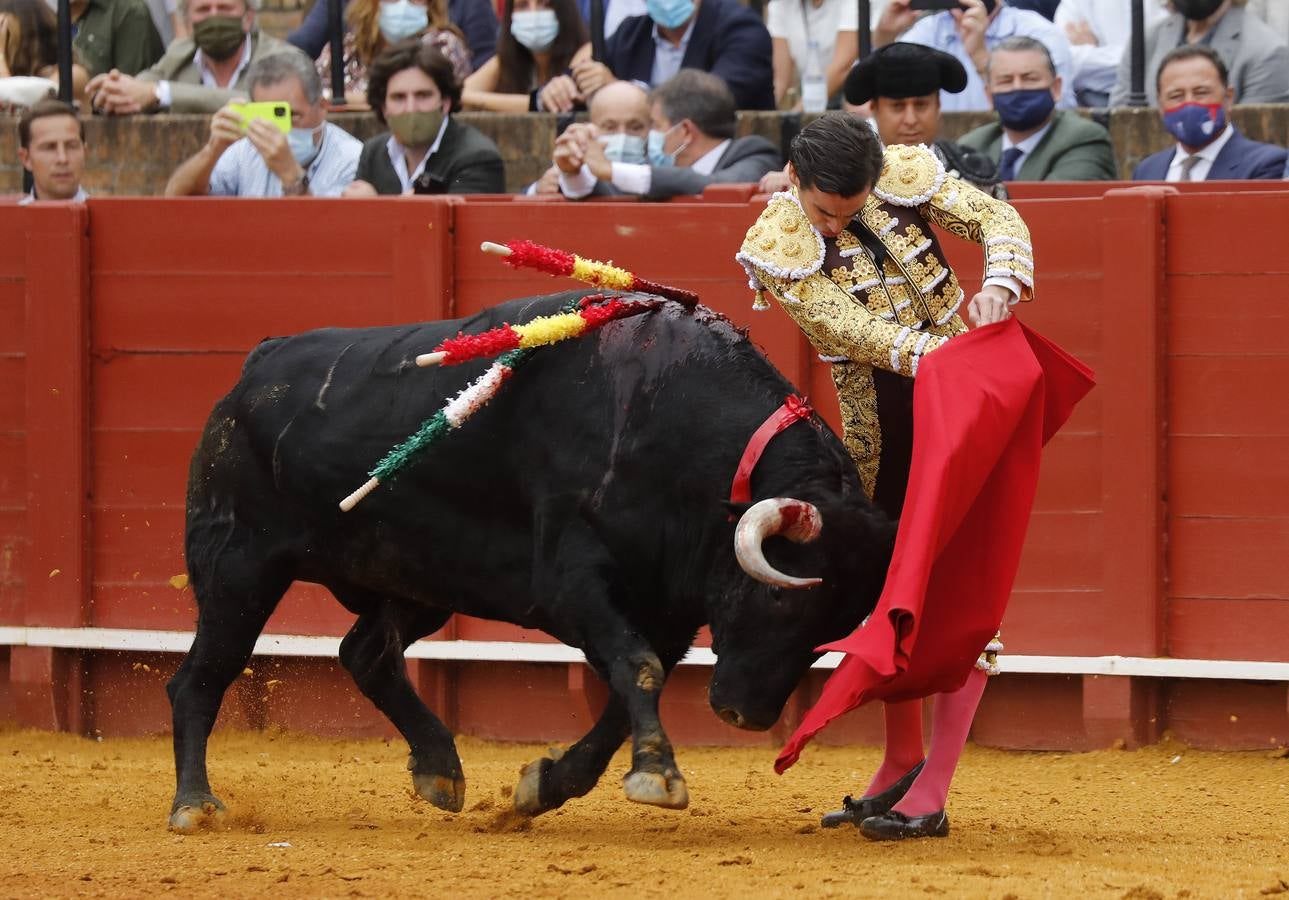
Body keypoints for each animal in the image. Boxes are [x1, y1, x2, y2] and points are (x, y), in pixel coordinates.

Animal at [168, 291, 897, 830]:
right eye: (777, 593)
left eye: (835, 627)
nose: (744, 714)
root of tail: (253, 372)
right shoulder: (571, 580)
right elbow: (637, 668)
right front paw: (658, 776)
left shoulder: (667, 611)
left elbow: (626, 693)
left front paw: (543, 787)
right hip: (238, 566)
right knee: (202, 677)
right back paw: (195, 806)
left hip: (418, 581)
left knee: (366, 654)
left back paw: (440, 770)